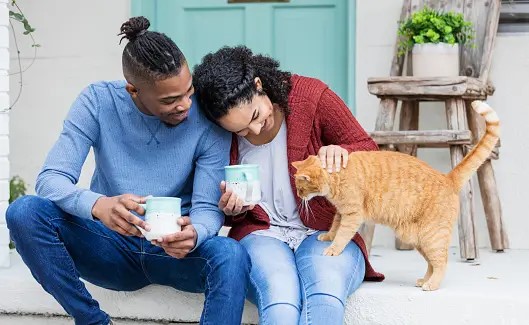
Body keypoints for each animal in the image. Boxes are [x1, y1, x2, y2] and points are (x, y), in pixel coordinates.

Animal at [290, 100, 498, 290]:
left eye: (300, 188)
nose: (300, 196)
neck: (337, 176)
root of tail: (447, 178)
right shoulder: (341, 212)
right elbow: (334, 227)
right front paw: (327, 237)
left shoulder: (352, 215)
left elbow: (342, 235)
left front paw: (332, 249)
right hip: (421, 240)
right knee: (431, 263)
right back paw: (424, 280)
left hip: (432, 237)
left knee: (441, 262)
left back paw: (431, 285)